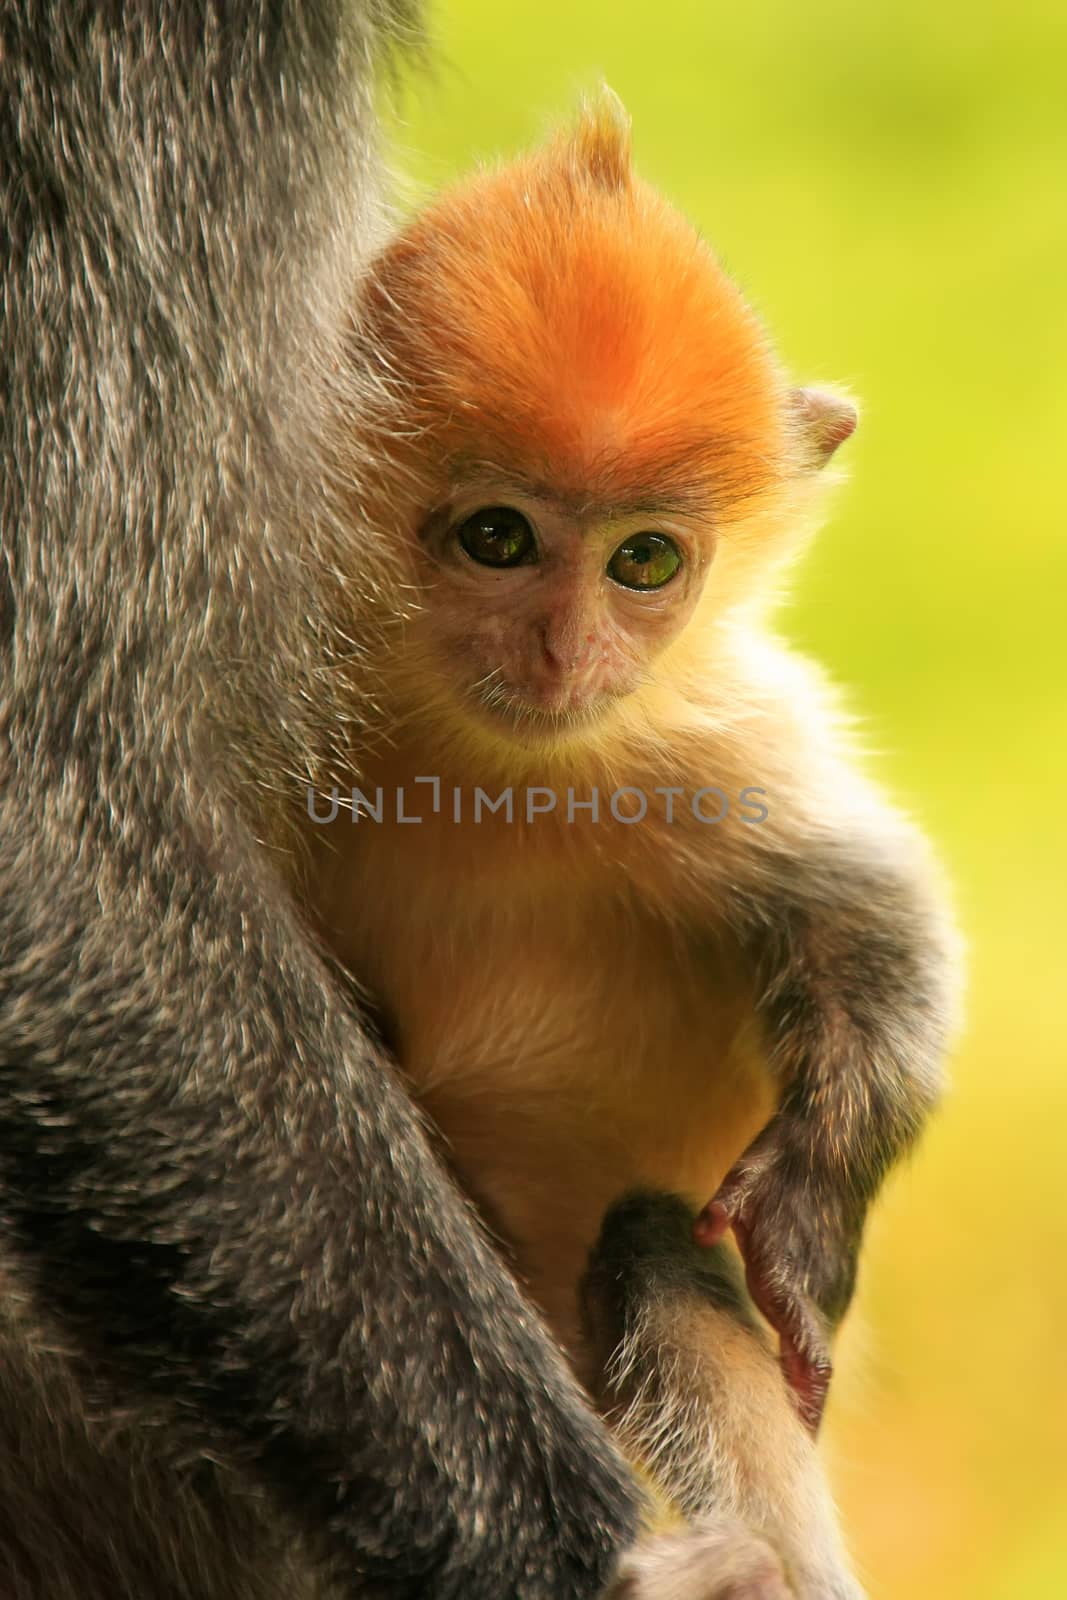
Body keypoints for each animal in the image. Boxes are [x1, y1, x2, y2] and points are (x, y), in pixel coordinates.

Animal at [303, 96, 966, 1587]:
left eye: (643, 562)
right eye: (497, 538)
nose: (565, 651)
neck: (484, 769)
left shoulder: (709, 750)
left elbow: (875, 911)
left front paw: (808, 1205)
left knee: (656, 1248)